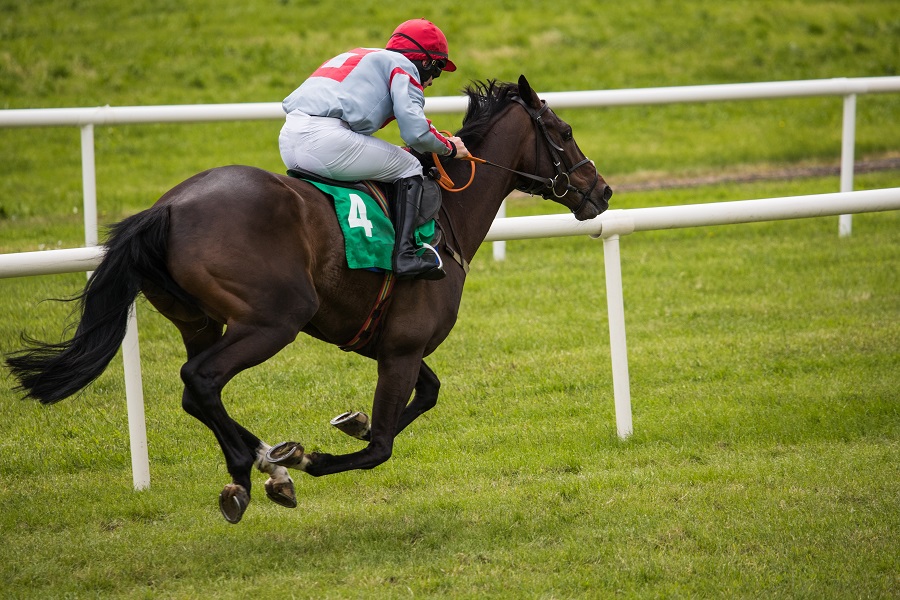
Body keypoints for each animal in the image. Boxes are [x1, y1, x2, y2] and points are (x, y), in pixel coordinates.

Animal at [7, 77, 612, 524]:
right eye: (564, 130)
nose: (602, 191)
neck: (446, 218)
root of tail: (167, 209)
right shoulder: (402, 346)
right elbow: (381, 446)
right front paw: (316, 454)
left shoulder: (384, 339)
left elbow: (429, 393)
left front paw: (349, 423)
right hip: (274, 320)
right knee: (201, 380)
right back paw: (260, 466)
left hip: (200, 322)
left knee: (195, 389)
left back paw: (262, 463)